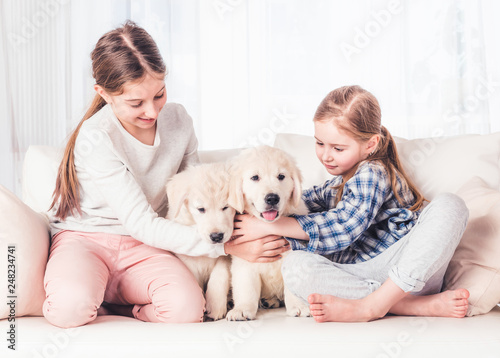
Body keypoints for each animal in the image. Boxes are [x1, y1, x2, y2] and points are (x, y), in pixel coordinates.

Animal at [165, 161, 233, 320]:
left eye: (226, 207)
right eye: (201, 209)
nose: (216, 236)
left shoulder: (226, 258)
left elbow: (219, 275)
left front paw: (215, 306)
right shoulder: (187, 260)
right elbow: (195, 283)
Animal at [226, 146, 308, 322]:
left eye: (281, 176)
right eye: (255, 177)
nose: (272, 198)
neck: (269, 226)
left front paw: (299, 306)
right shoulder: (245, 261)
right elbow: (246, 290)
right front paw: (241, 309)